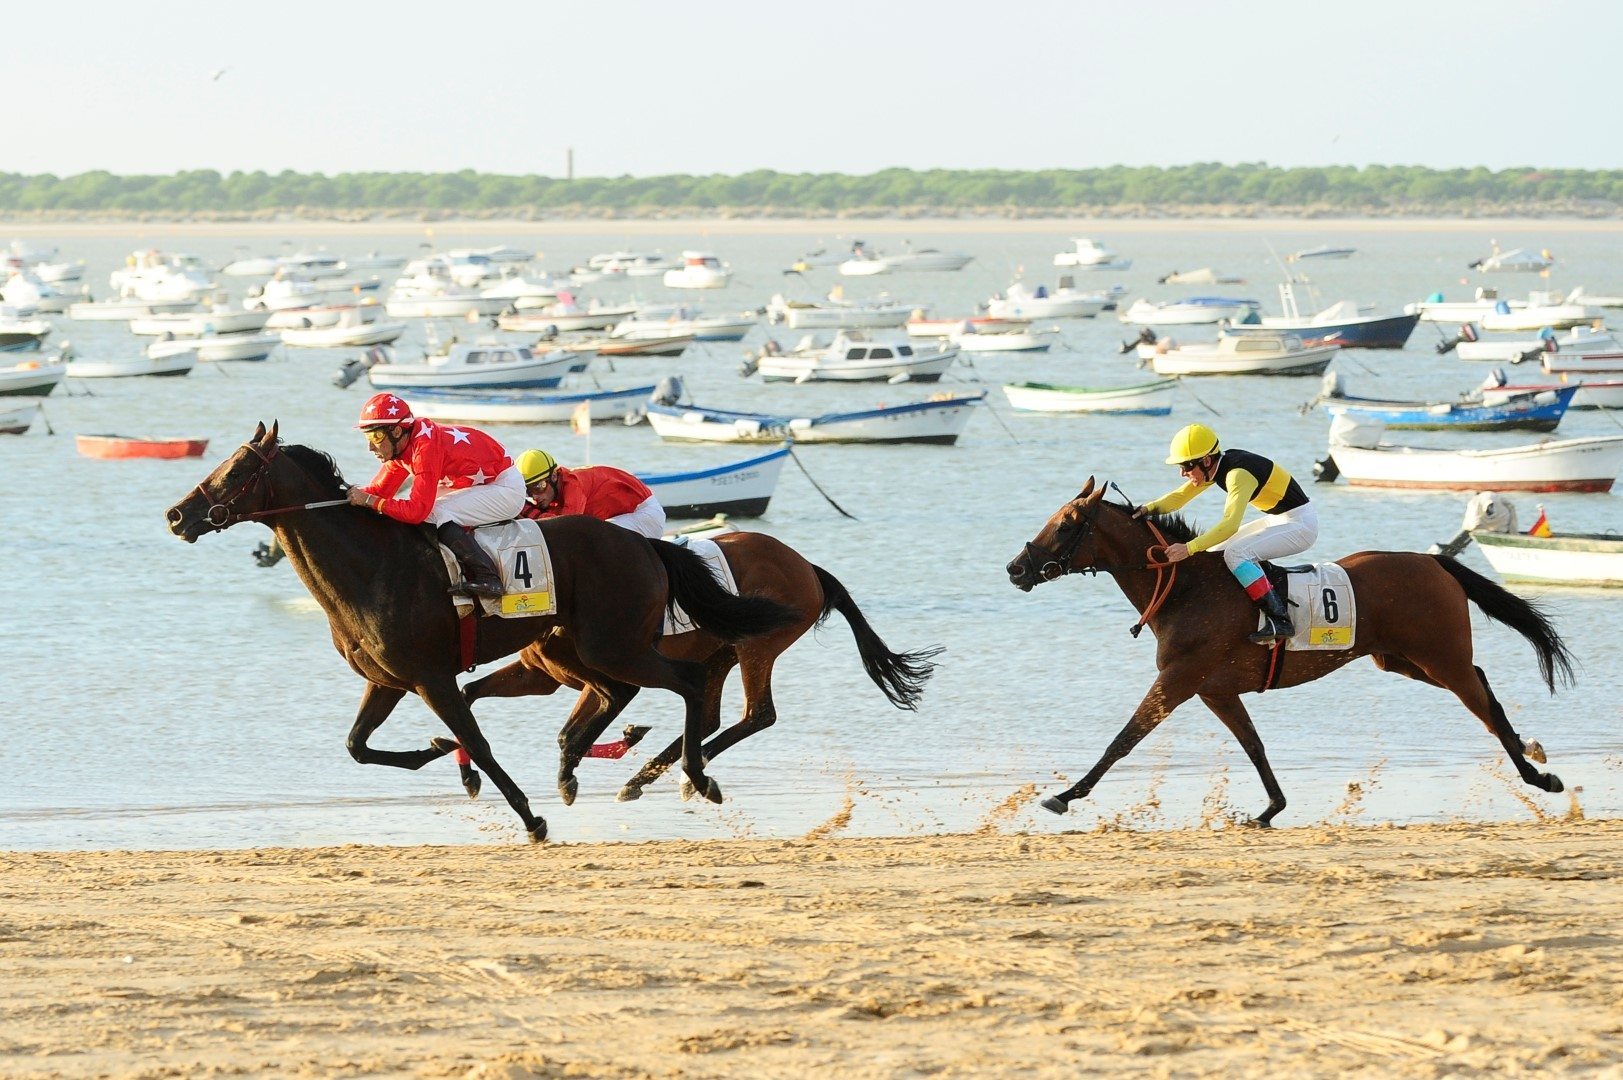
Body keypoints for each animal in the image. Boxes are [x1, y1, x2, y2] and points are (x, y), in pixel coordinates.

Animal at [164, 422, 798, 844]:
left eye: (238, 470)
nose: (176, 515)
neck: (371, 565)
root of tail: (645, 544)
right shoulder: (387, 680)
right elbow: (358, 747)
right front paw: (437, 751)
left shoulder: (431, 677)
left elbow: (482, 743)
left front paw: (530, 818)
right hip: (591, 648)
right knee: (636, 693)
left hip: (613, 644)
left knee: (689, 683)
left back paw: (693, 776)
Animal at [464, 526, 947, 805]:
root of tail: (807, 567)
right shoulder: (541, 674)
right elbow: (471, 695)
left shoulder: (609, 667)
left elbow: (577, 728)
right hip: (720, 652)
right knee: (711, 713)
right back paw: (655, 774)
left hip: (756, 646)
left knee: (757, 714)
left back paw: (674, 774)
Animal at [999, 477, 1571, 821]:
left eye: (1067, 524)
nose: (1015, 568)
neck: (1185, 588)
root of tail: (1433, 562)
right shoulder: (1215, 690)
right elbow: (1254, 745)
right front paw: (1272, 807)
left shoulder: (1178, 680)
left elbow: (1124, 739)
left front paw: (1066, 795)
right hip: (1403, 660)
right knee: (1485, 686)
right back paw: (1532, 751)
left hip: (1438, 655)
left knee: (1482, 705)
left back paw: (1537, 775)